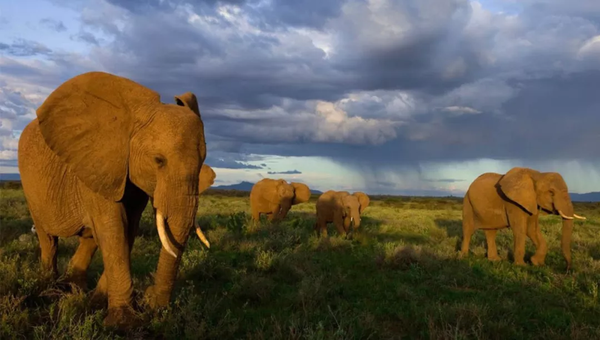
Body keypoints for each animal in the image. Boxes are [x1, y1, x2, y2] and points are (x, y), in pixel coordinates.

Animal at [18, 72, 209, 330]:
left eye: (202, 162)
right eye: (158, 160)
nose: (151, 299)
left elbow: (127, 230)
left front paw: (100, 305)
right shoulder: (97, 164)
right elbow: (114, 229)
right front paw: (122, 323)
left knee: (89, 239)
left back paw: (76, 291)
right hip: (31, 189)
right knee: (48, 238)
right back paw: (49, 289)